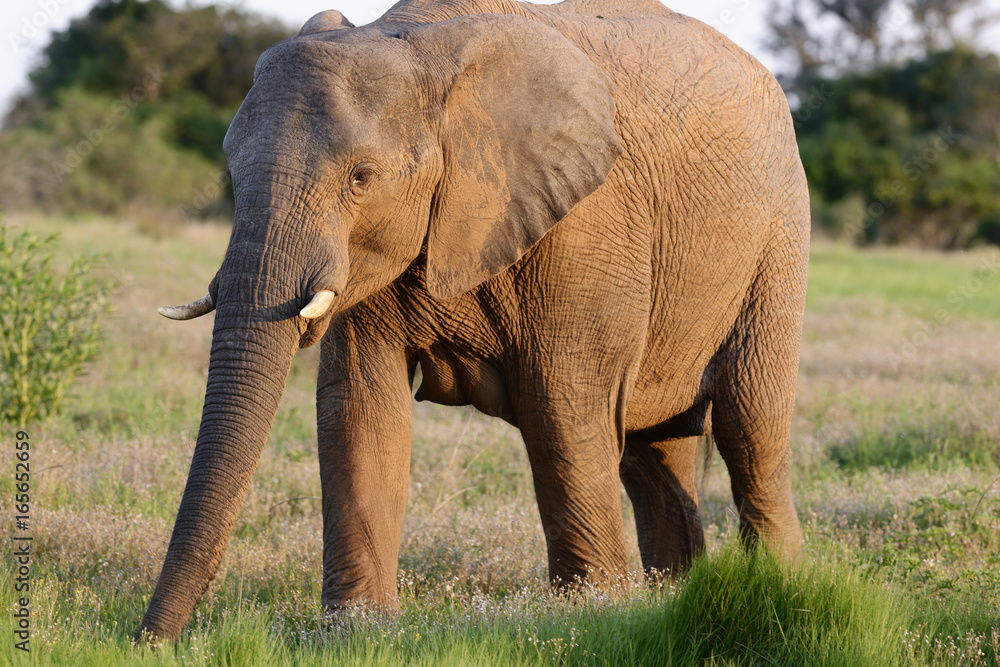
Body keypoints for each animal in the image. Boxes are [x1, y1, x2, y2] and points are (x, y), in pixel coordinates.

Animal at [138, 0, 809, 642]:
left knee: (749, 427)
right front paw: (356, 634)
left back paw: (778, 590)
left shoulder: (588, 226)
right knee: (654, 455)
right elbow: (360, 409)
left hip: (779, 233)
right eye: (231, 172)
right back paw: (676, 598)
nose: (150, 642)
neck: (420, 47)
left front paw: (591, 618)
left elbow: (562, 409)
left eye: (361, 177)